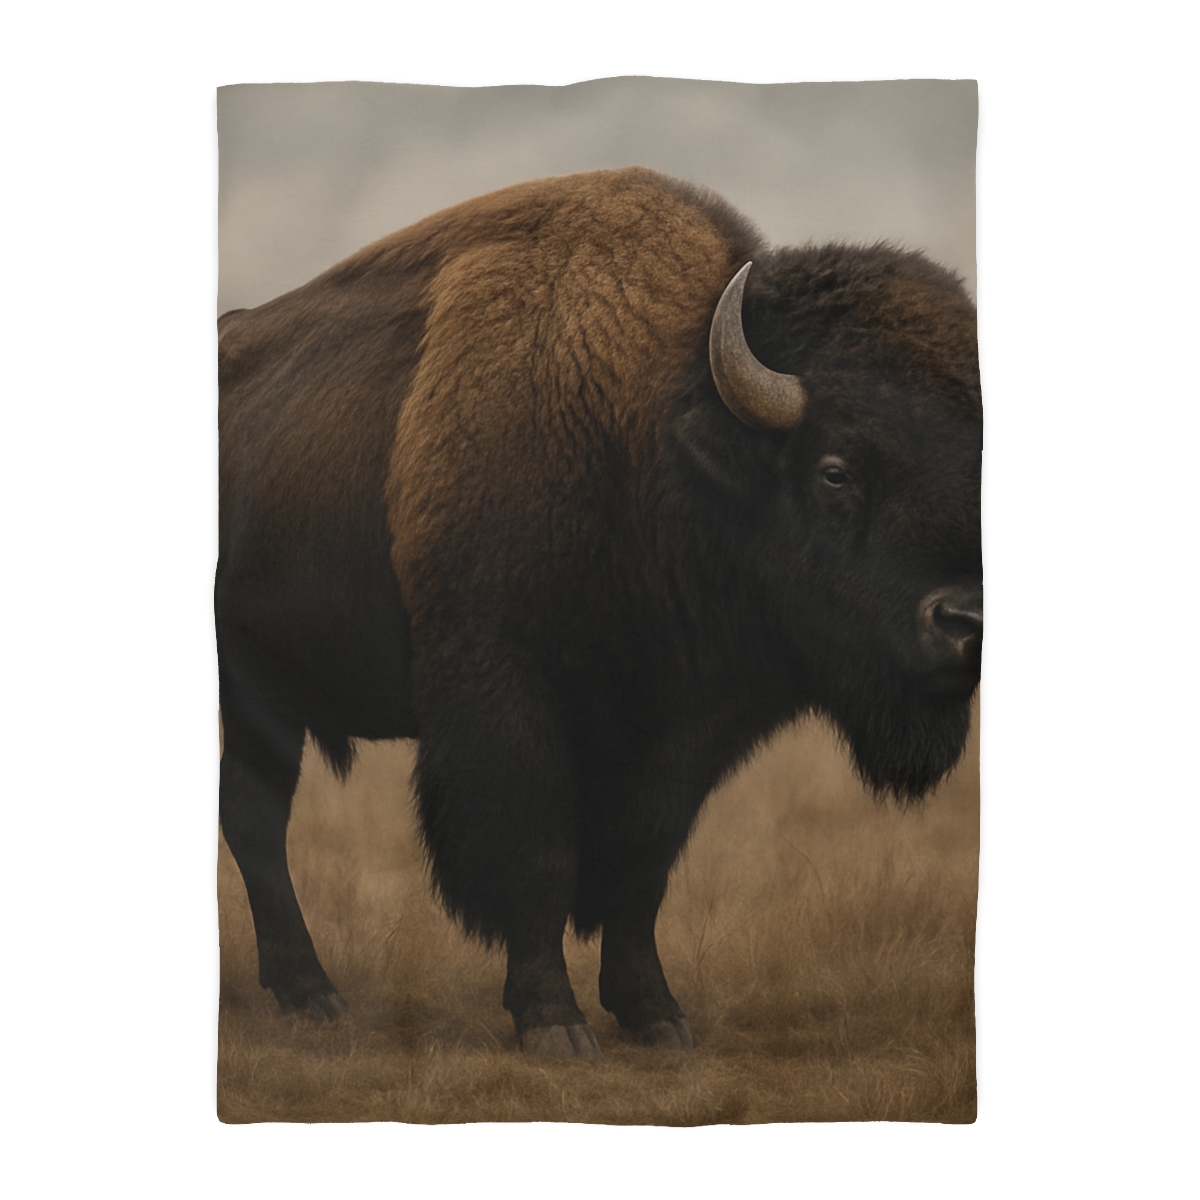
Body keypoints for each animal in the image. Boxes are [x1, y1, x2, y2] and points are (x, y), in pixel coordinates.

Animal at [217, 166, 982, 1058]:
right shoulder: (506, 698)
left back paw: (305, 992)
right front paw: (555, 1024)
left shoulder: (681, 734)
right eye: (836, 470)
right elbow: (537, 857)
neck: (655, 428)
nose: (964, 623)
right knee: (259, 821)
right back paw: (316, 995)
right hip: (255, 692)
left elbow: (638, 869)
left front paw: (657, 1017)